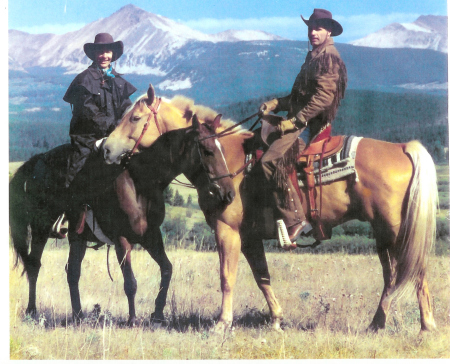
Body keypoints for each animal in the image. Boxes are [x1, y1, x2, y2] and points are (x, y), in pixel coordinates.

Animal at [8, 117, 234, 328]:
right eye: (207, 151)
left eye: (223, 149)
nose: (229, 193)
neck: (141, 182)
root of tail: (35, 163)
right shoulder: (122, 239)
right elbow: (130, 282)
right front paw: (132, 319)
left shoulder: (151, 236)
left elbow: (167, 269)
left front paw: (158, 314)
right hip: (40, 229)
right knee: (34, 265)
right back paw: (32, 311)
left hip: (77, 237)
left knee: (72, 272)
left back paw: (78, 315)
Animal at [103, 84, 438, 332]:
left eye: (135, 118)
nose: (106, 148)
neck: (233, 164)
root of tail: (403, 148)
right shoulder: (249, 238)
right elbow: (262, 277)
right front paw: (276, 319)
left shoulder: (227, 231)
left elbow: (227, 276)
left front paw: (222, 323)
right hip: (382, 234)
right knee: (391, 276)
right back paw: (377, 324)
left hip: (397, 231)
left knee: (417, 271)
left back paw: (426, 326)